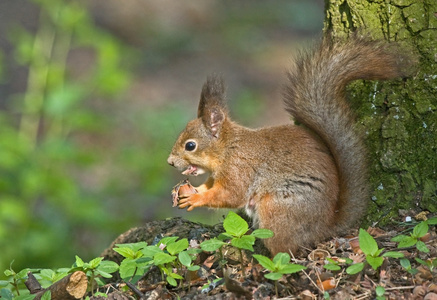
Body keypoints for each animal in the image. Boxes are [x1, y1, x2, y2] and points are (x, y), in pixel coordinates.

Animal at [167, 36, 408, 254]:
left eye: (190, 146)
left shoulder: (239, 169)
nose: (170, 162)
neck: (228, 149)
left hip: (276, 210)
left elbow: (230, 195)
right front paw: (191, 191)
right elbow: (210, 186)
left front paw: (197, 198)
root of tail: (324, 228)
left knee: (284, 250)